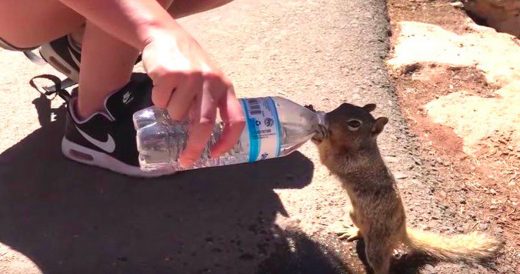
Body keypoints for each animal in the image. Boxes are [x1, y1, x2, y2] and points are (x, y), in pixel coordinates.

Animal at [306, 103, 502, 274]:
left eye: (354, 124)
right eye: (342, 105)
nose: (326, 118)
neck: (362, 146)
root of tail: (401, 231)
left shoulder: (351, 163)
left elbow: (327, 157)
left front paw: (319, 133)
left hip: (377, 246)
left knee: (382, 265)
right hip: (354, 213)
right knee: (362, 231)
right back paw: (352, 231)